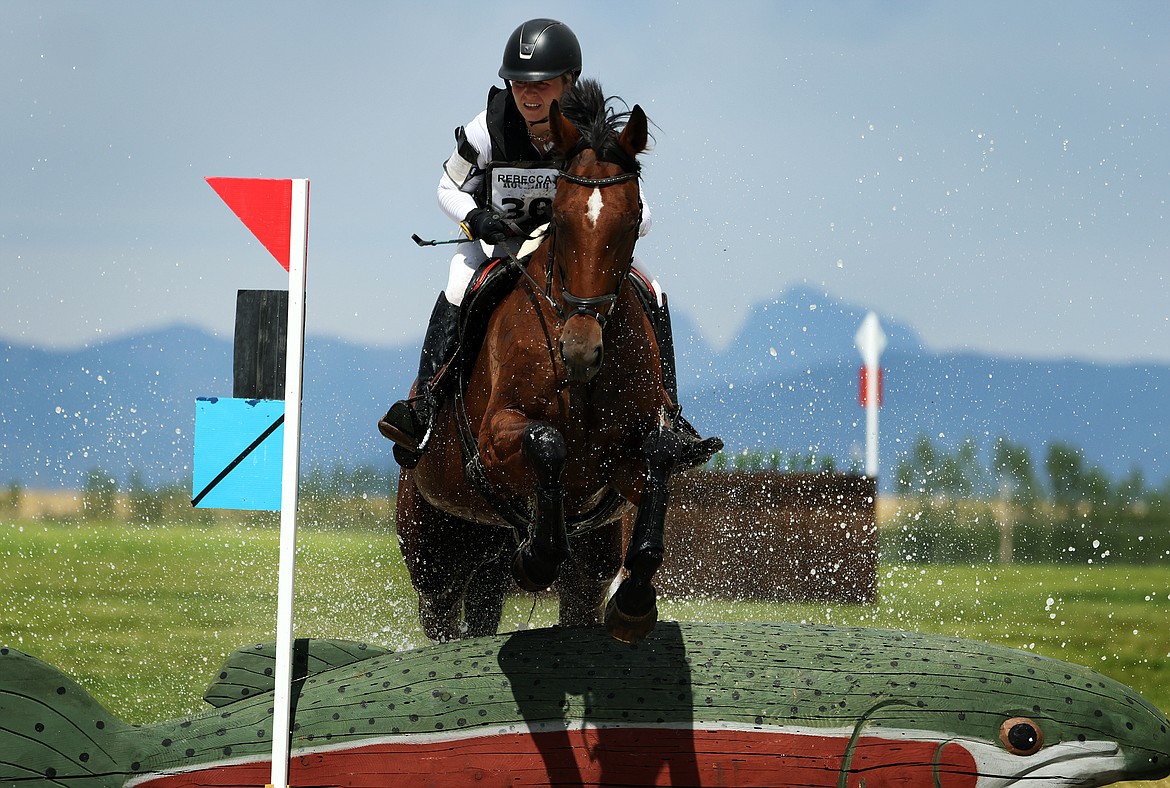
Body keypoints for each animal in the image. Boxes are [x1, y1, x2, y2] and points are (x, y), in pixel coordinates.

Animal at [397, 81, 716, 645]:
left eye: (632, 219)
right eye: (560, 219)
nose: (580, 351)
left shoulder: (623, 466)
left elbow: (658, 456)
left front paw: (635, 602)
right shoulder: (495, 439)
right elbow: (547, 442)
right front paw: (538, 556)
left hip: (554, 558)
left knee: (533, 599)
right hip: (434, 552)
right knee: (443, 611)